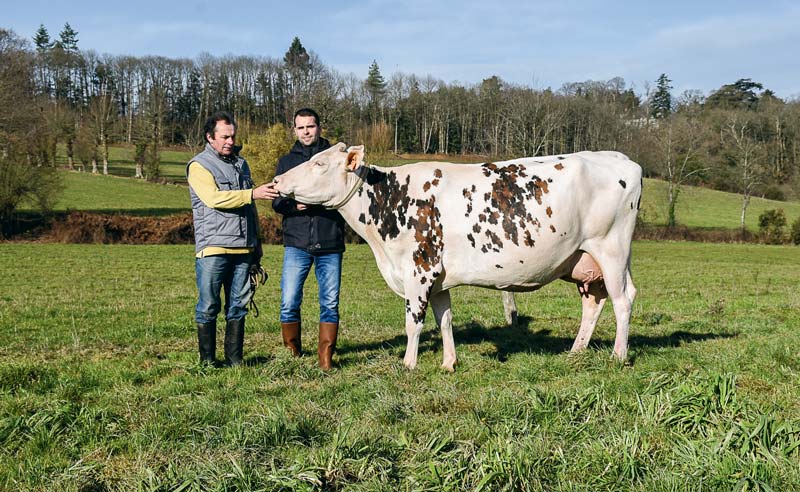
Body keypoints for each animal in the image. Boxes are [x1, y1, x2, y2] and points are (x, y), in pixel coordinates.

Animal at [272, 144, 640, 370]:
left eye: (319, 163)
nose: (276, 179)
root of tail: (622, 159)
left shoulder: (419, 269)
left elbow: (413, 322)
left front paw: (408, 364)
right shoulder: (438, 278)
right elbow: (445, 320)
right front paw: (450, 362)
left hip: (612, 249)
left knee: (623, 299)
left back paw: (618, 355)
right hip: (583, 259)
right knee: (594, 302)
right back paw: (575, 351)